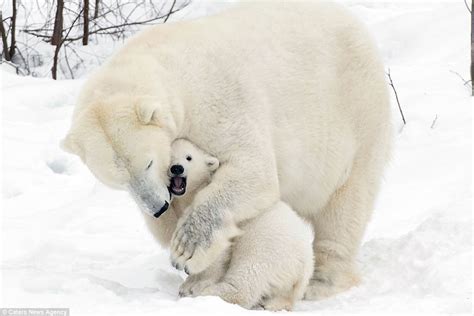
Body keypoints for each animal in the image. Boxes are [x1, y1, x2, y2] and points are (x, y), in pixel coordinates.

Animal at [60, 1, 392, 300]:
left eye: (148, 163)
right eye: (118, 181)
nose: (158, 207)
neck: (167, 65)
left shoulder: (219, 101)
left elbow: (253, 170)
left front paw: (187, 248)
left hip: (355, 114)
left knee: (346, 203)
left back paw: (323, 281)